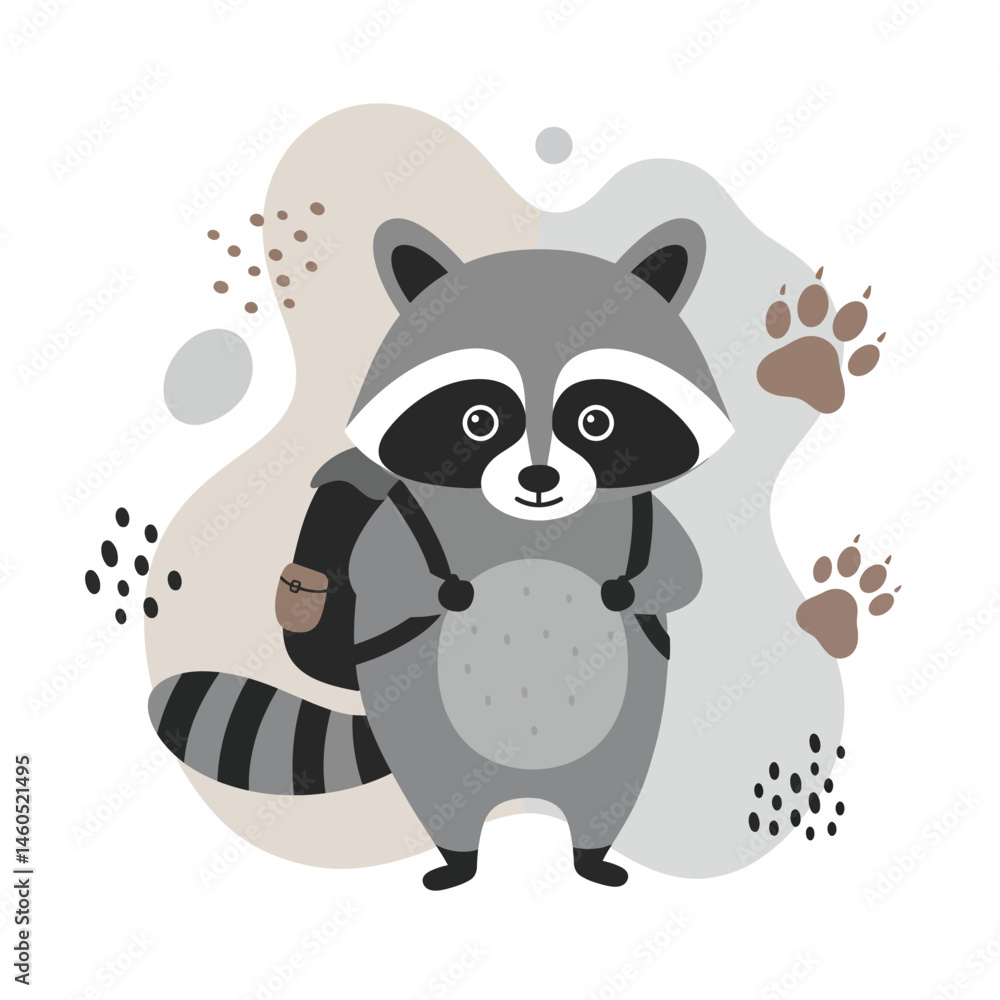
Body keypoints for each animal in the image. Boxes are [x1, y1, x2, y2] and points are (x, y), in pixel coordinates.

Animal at [149, 217, 733, 889]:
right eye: (480, 420)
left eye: (597, 420)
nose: (539, 480)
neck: (527, 527)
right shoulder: (401, 526)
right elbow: (384, 571)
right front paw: (440, 590)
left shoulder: (646, 519)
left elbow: (682, 571)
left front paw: (632, 589)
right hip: (426, 740)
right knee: (442, 793)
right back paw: (458, 860)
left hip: (619, 740)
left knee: (608, 787)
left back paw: (592, 857)